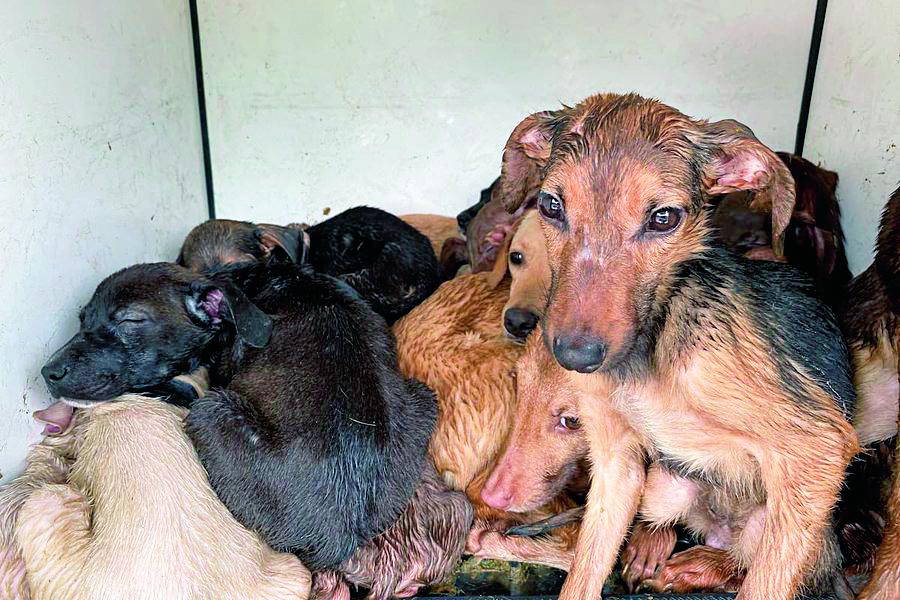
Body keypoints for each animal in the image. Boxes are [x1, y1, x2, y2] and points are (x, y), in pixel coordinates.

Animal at [38, 262, 440, 572]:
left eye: (130, 321)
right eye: (81, 319)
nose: (47, 372)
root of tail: (338, 537)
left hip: (213, 412)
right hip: (422, 396)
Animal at [502, 94, 856, 600]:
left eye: (663, 218)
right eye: (551, 205)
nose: (574, 357)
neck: (649, 357)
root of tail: (718, 529)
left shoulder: (817, 448)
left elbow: (764, 583)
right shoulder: (616, 463)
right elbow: (584, 573)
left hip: (790, 521)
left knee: (758, 563)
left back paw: (696, 565)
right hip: (663, 484)